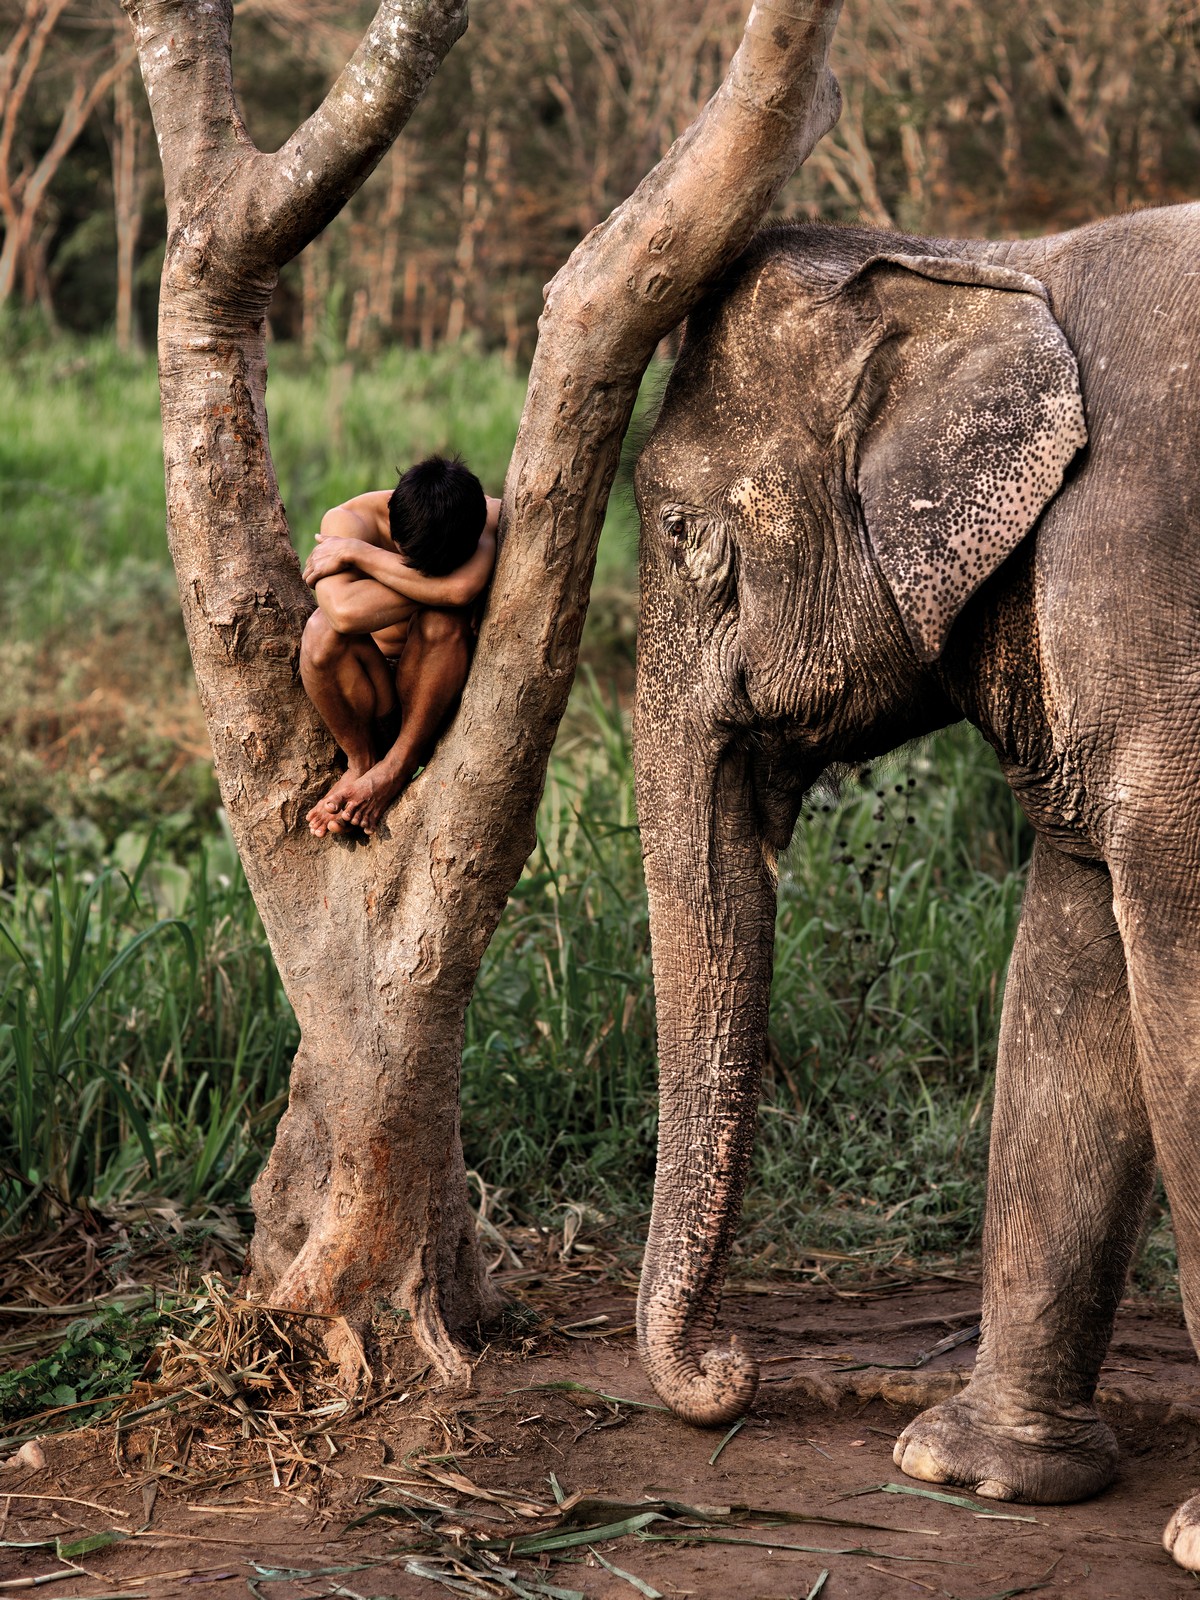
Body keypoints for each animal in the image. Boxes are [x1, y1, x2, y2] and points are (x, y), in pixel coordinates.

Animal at [630, 200, 1200, 1561]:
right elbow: (1067, 983)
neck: (999, 262)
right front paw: (972, 1473)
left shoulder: (1145, 592)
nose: (735, 1370)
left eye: (679, 533)